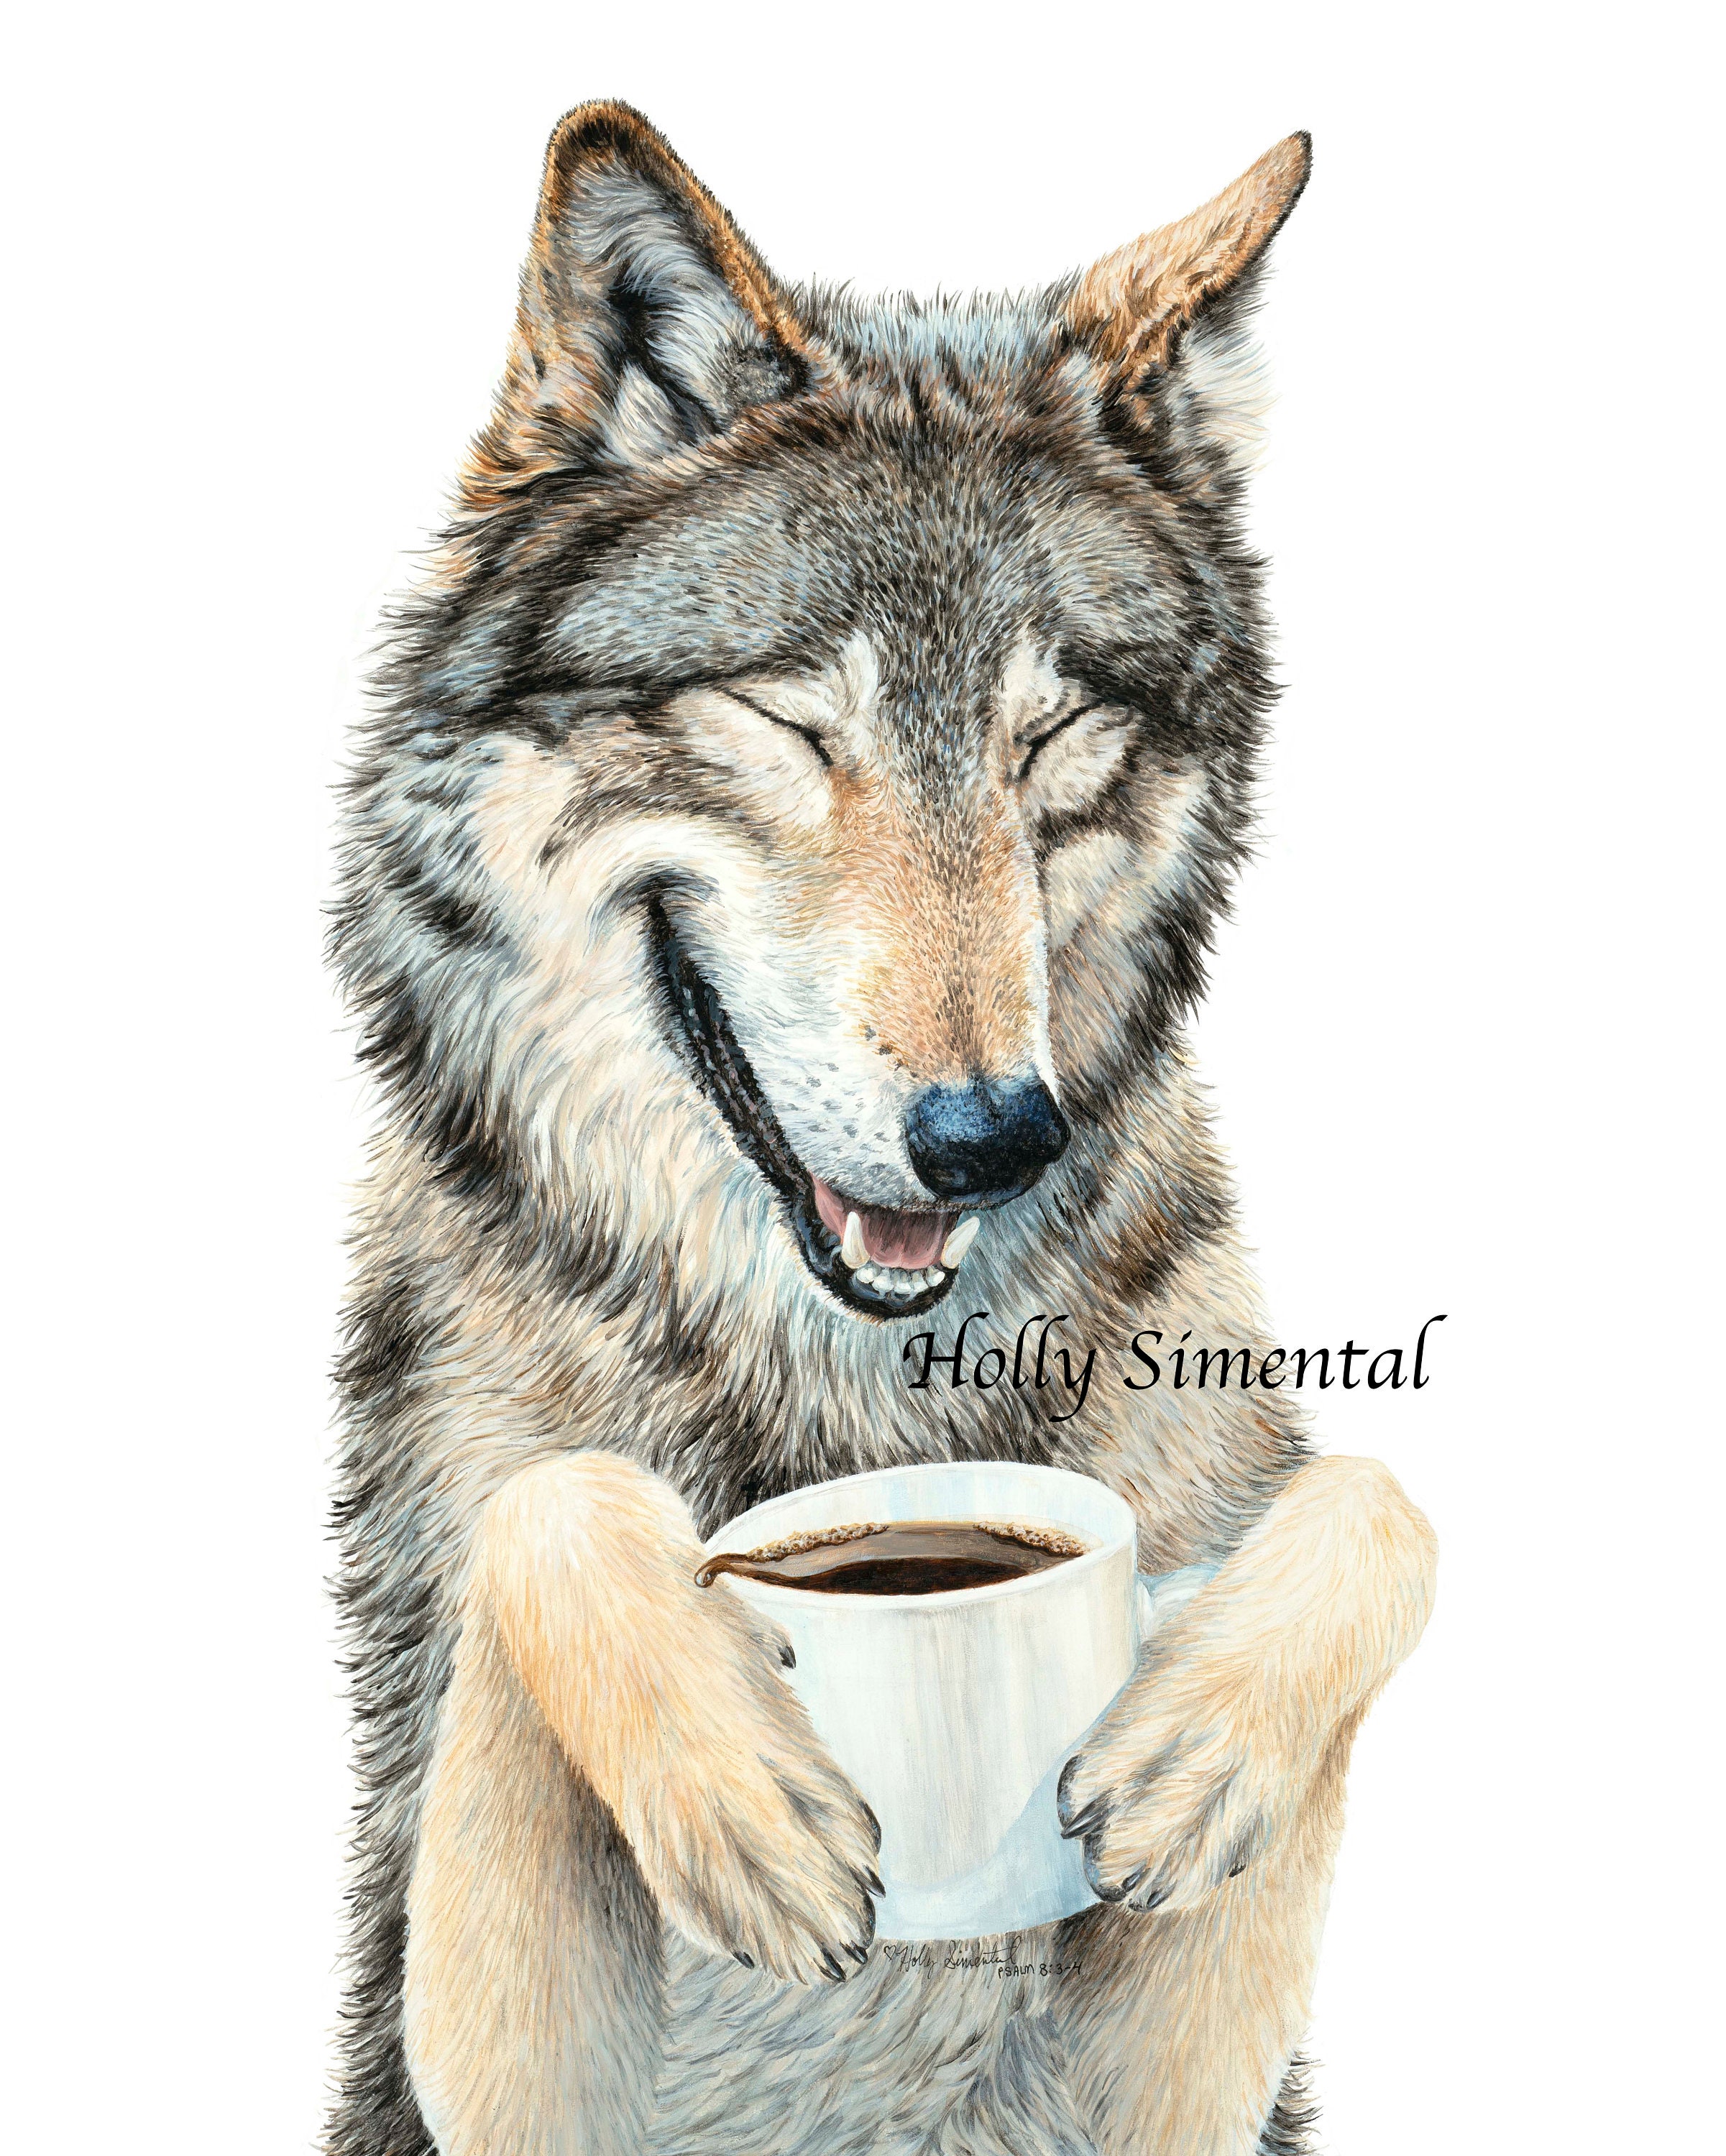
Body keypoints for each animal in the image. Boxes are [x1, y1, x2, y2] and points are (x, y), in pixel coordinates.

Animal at [329, 101, 1436, 2156]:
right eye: (790, 723)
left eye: (1051, 738)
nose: (995, 1136)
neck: (849, 1394)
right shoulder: (459, 2031)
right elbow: (553, 1496)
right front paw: (739, 1791)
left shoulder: (1183, 2073)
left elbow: (1370, 1494)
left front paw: (1197, 1745)